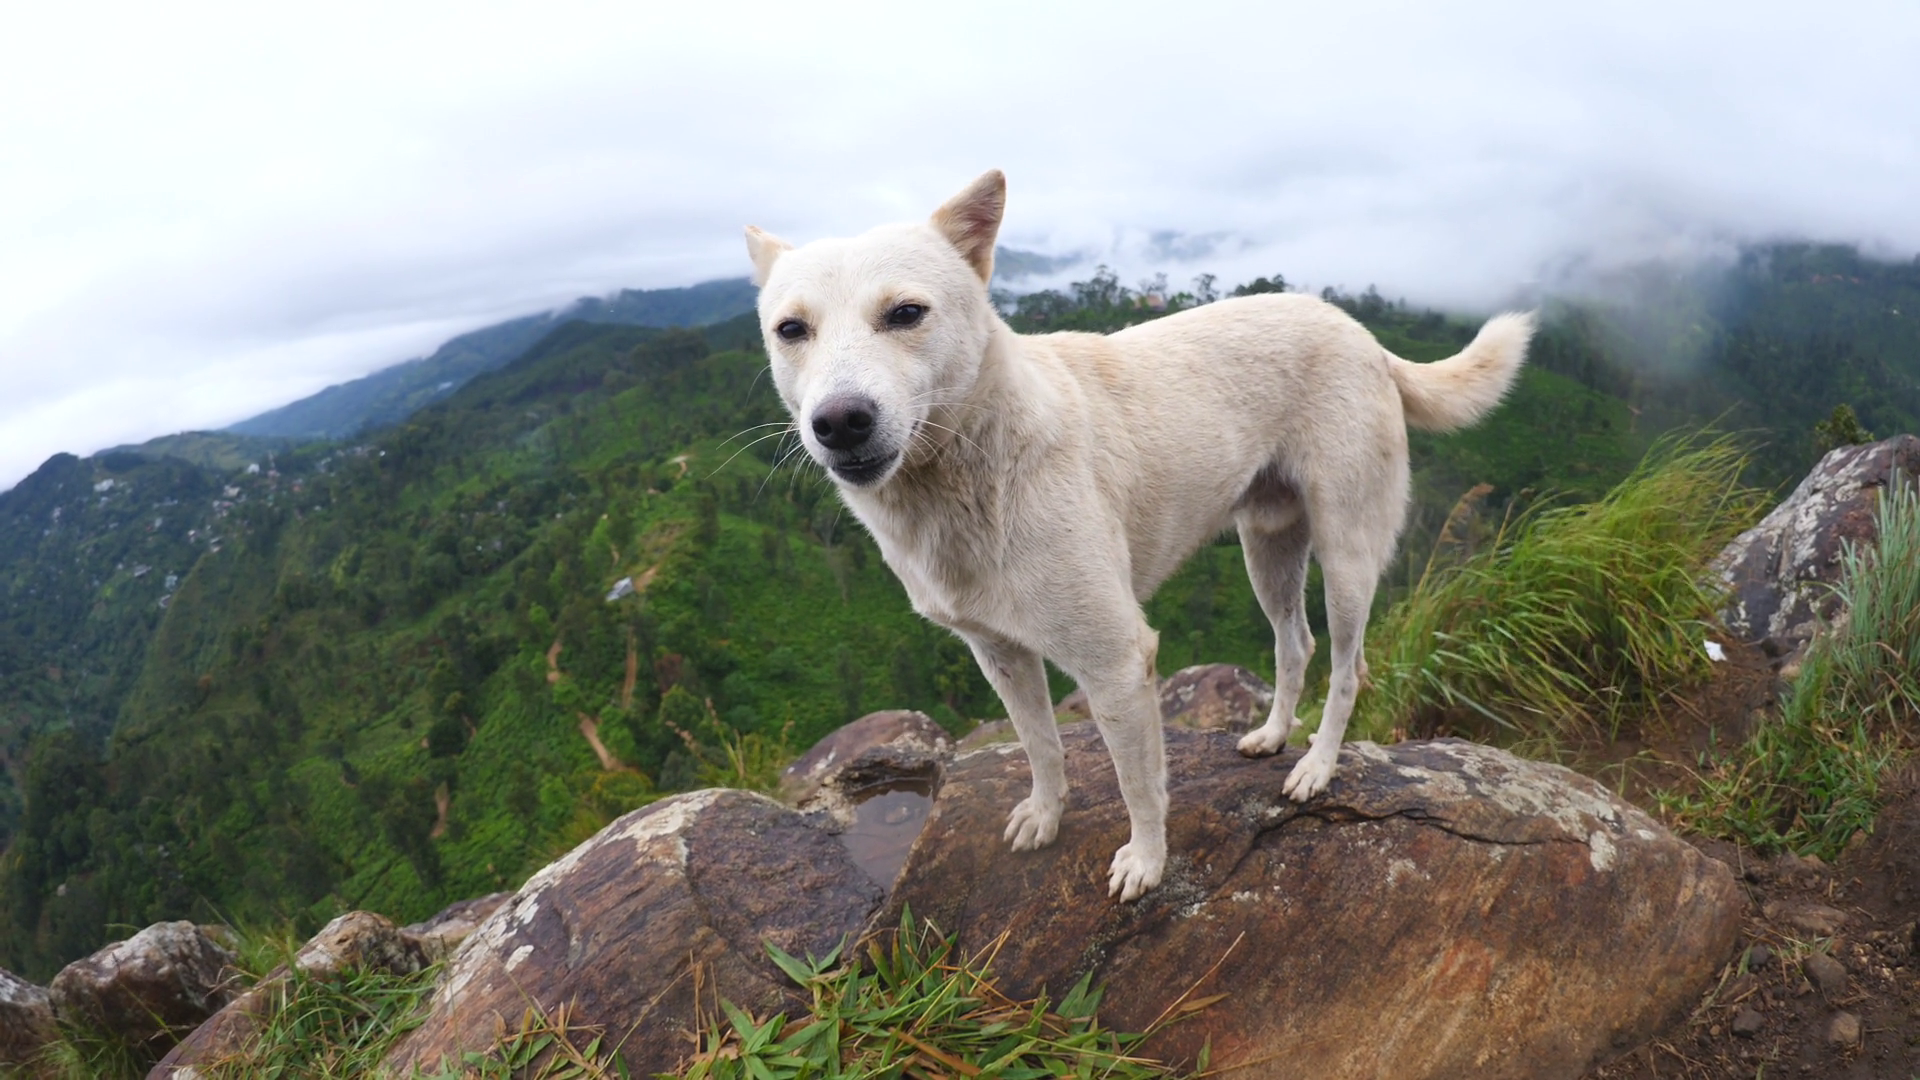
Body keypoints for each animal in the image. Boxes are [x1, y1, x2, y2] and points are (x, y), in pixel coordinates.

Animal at [744, 171, 1531, 900]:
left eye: (906, 313)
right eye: (791, 330)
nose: (840, 422)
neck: (970, 472)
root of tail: (1361, 334)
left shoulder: (1117, 662)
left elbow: (1138, 784)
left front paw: (1146, 863)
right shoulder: (999, 655)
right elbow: (1040, 746)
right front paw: (1045, 815)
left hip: (1347, 556)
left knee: (1347, 668)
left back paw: (1314, 767)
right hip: (1267, 548)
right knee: (1294, 644)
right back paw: (1274, 735)